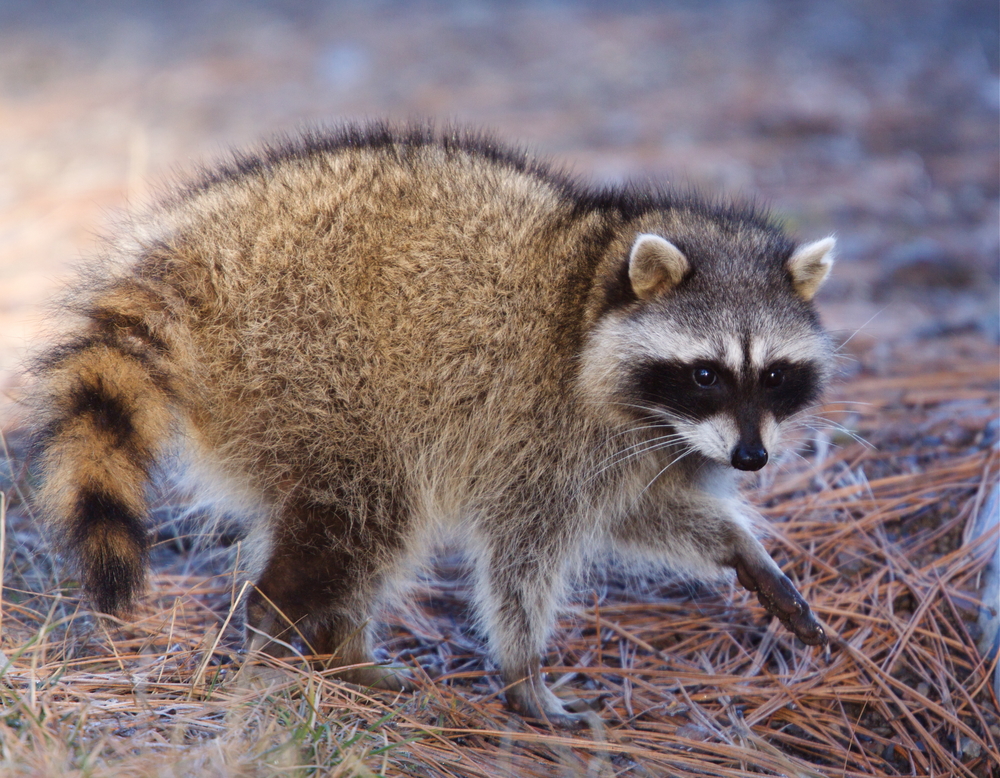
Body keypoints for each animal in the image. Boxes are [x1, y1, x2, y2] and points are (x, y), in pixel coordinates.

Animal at [29, 122, 832, 727]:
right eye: (706, 373)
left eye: (774, 375)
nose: (753, 459)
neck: (595, 281)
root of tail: (185, 257)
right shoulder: (548, 429)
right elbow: (520, 553)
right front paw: (524, 671)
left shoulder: (639, 448)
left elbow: (641, 512)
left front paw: (744, 552)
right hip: (301, 363)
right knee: (365, 512)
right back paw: (279, 628)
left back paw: (342, 648)